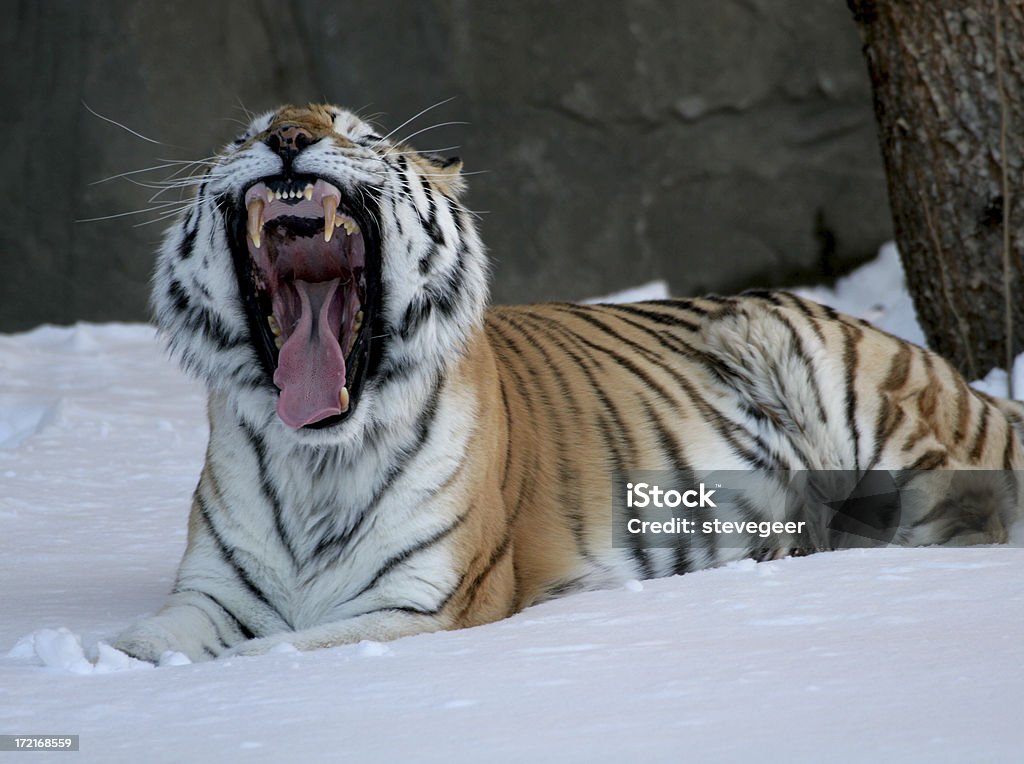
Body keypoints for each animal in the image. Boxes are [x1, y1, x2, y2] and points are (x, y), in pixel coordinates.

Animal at [112, 101, 1024, 659]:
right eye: (245, 135)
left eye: (357, 133)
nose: (288, 138)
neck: (317, 457)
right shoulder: (209, 593)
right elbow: (143, 644)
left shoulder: (424, 604)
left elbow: (276, 649)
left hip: (856, 390)